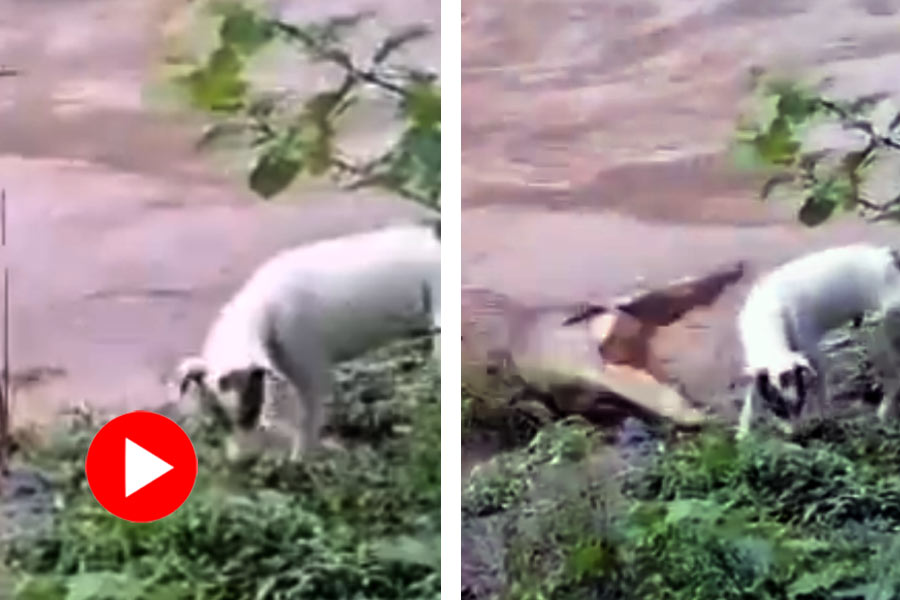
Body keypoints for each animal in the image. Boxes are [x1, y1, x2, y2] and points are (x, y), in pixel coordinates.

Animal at [176, 223, 440, 458]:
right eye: (218, 420)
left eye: (252, 411)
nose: (239, 461)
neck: (264, 311)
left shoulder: (309, 365)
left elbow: (308, 418)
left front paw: (300, 461)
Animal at [736, 243, 900, 436]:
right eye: (778, 409)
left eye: (800, 402)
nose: (796, 436)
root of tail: (889, 255)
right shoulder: (759, 370)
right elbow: (751, 401)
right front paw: (743, 434)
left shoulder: (813, 354)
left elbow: (821, 393)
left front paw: (825, 420)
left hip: (887, 328)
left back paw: (884, 412)